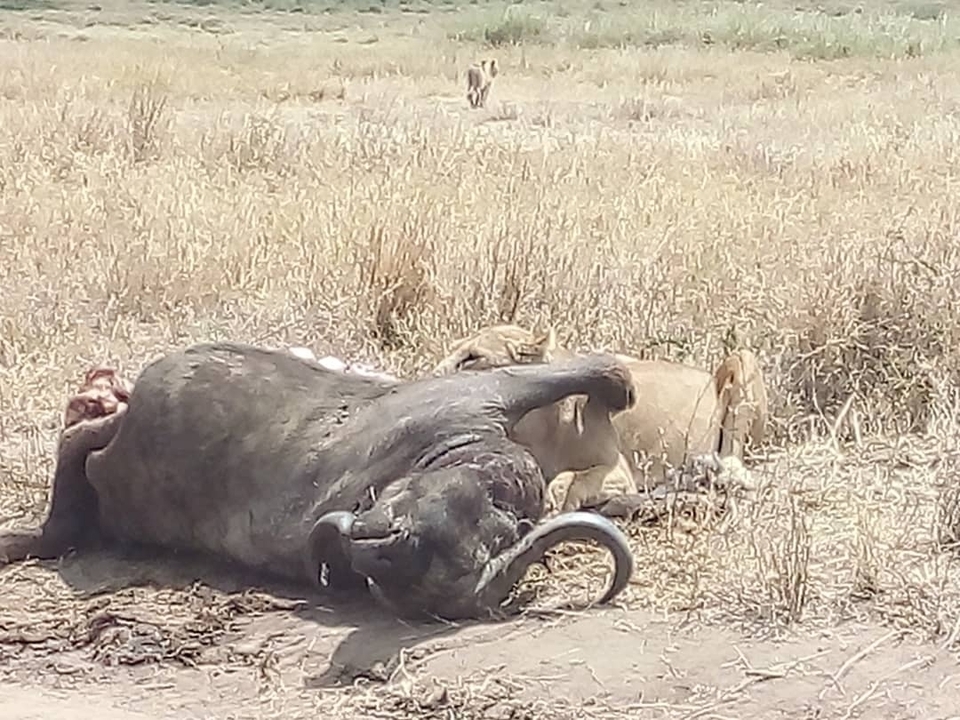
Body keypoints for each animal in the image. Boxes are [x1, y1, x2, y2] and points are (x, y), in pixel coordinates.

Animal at [433, 324, 769, 512]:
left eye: (472, 357)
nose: (432, 376)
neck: (532, 425)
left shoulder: (618, 468)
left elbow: (574, 478)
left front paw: (560, 498)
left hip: (742, 358)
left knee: (736, 460)